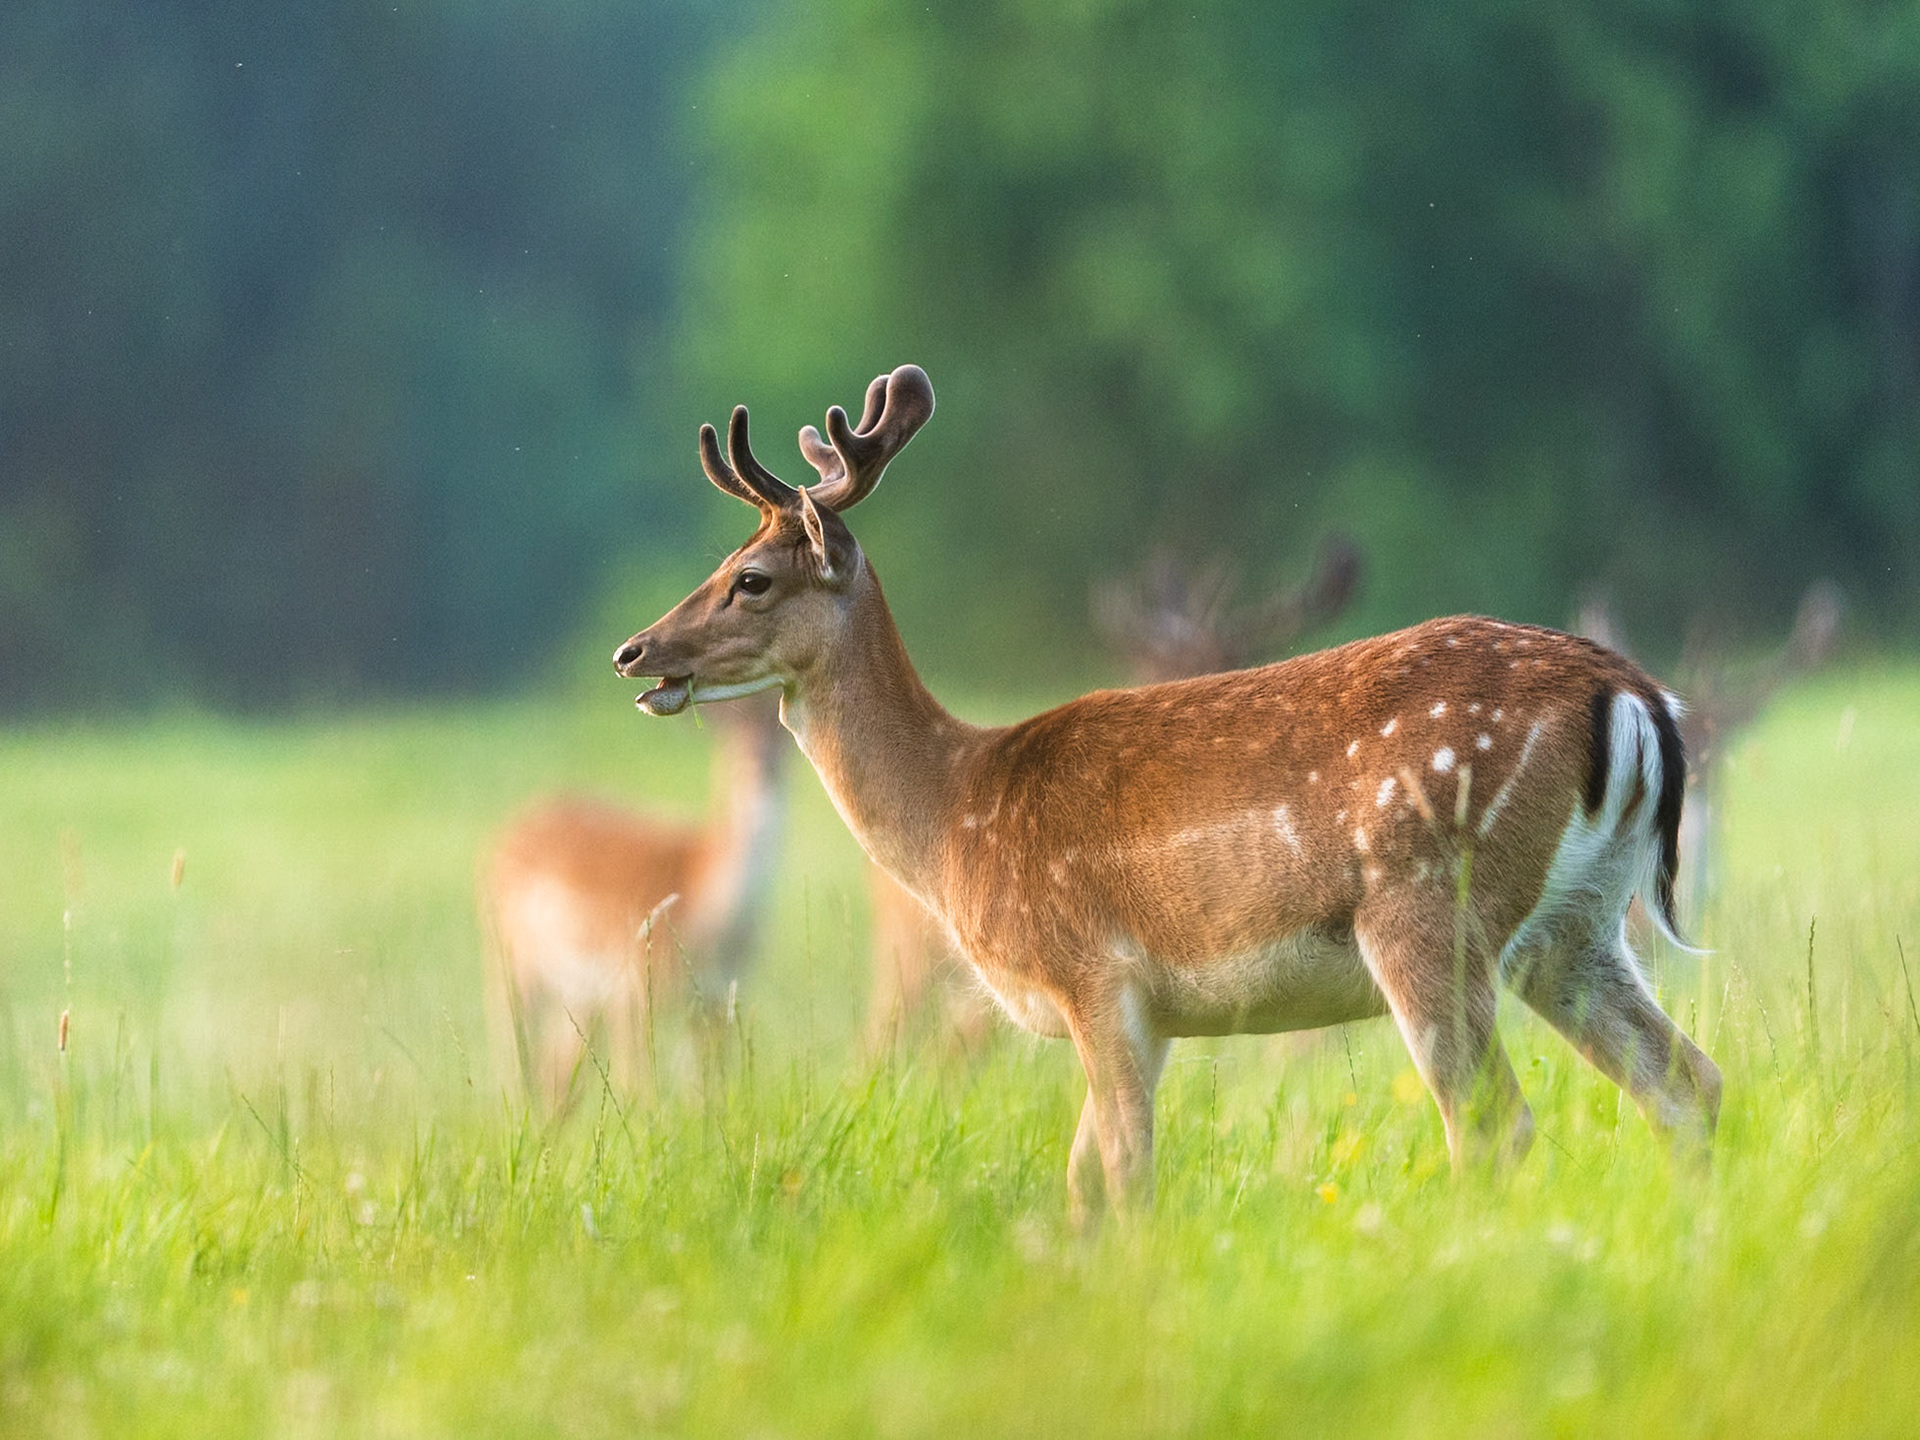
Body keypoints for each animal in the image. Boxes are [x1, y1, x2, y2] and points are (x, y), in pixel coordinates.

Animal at [483, 689, 787, 1111]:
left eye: (782, 733)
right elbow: (642, 1085)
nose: (761, 766)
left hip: (578, 995)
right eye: (729, 735)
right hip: (510, 963)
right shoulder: (631, 988)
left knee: (556, 1068)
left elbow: (709, 1090)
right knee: (514, 1053)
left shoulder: (719, 996)